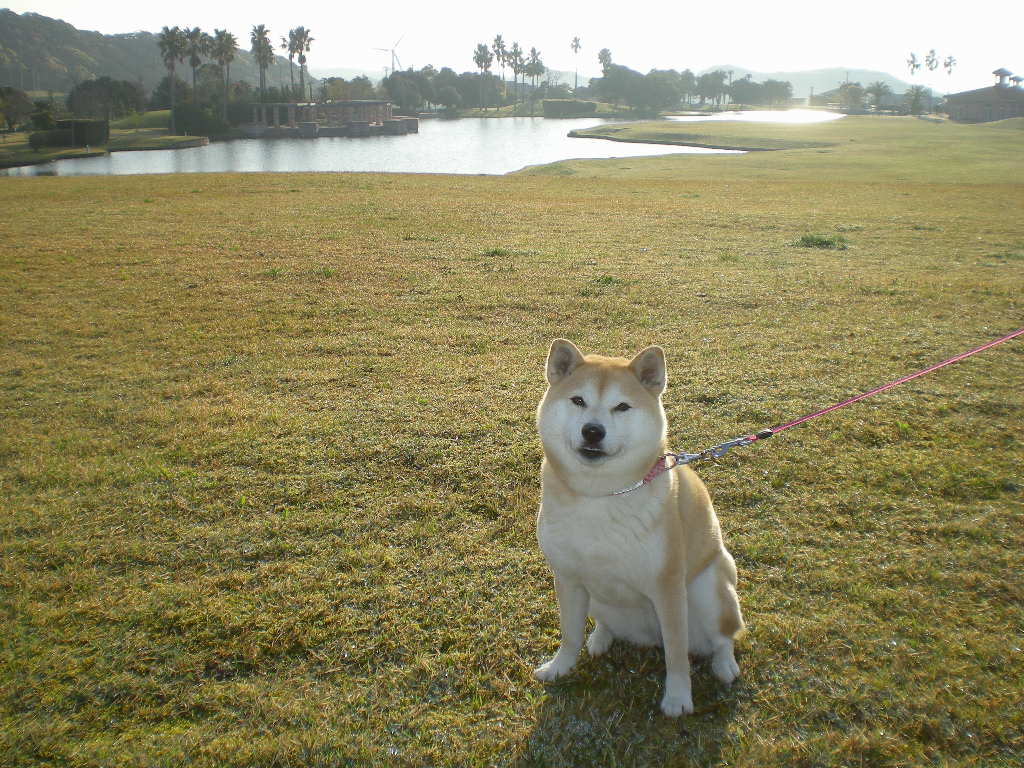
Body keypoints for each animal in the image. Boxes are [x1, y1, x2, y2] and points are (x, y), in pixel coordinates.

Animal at [532, 339, 741, 720]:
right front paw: (560, 667)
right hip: (599, 598)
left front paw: (678, 699)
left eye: (622, 406)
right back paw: (600, 638)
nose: (593, 430)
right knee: (603, 623)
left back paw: (724, 665)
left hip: (710, 588)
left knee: (724, 637)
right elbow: (569, 633)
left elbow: (676, 653)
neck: (600, 496)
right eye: (578, 401)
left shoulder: (667, 588)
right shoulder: (567, 578)